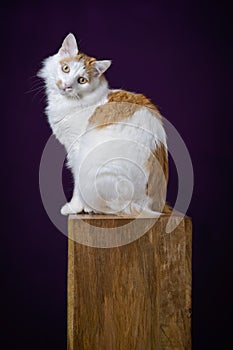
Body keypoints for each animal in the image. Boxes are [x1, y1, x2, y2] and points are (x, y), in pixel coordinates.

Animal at [38, 33, 169, 216]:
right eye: (66, 69)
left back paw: (90, 208)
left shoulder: (77, 148)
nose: (67, 86)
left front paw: (74, 207)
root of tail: (152, 205)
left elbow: (76, 183)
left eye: (82, 80)